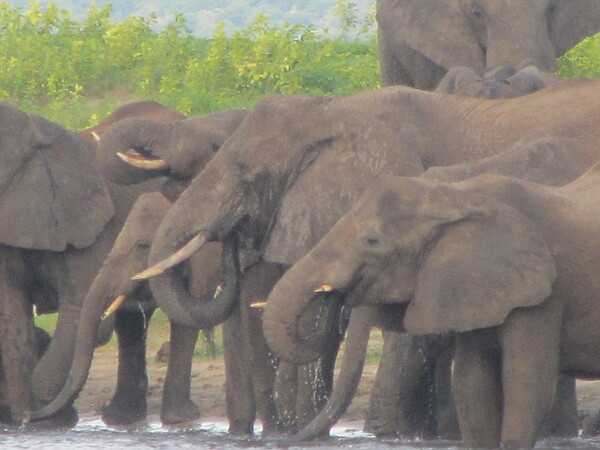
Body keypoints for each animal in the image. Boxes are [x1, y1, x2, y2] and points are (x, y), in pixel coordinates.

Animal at [264, 163, 600, 448]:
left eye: (372, 241)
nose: (331, 296)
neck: (455, 197)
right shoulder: (473, 289)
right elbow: (472, 387)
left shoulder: (543, 296)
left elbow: (527, 387)